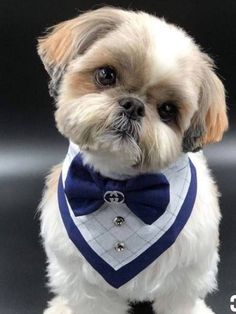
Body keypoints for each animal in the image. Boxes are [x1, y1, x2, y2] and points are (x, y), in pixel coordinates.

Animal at [37, 6, 228, 314]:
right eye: (106, 75)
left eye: (167, 110)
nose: (133, 105)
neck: (122, 188)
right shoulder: (84, 280)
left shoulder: (186, 272)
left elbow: (180, 301)